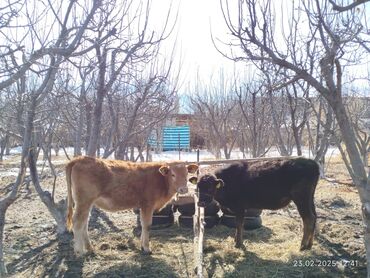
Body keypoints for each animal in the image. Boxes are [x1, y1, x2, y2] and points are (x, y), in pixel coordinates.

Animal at [66, 155, 199, 255]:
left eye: (186, 174)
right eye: (173, 175)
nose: (183, 189)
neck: (160, 179)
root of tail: (80, 158)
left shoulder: (143, 206)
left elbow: (143, 224)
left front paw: (142, 246)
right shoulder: (147, 205)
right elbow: (147, 225)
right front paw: (146, 248)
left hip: (87, 203)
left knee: (84, 223)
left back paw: (90, 248)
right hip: (84, 201)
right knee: (77, 222)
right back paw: (80, 252)